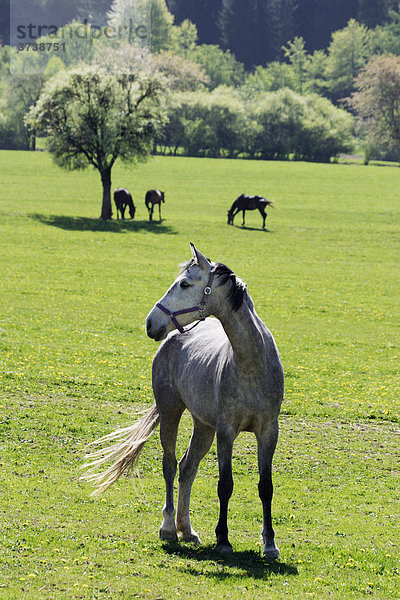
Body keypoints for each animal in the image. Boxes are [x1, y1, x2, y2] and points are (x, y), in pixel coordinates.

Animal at [83, 243, 284, 556]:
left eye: (185, 284)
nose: (150, 322)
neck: (251, 365)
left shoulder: (268, 431)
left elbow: (266, 487)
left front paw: (270, 544)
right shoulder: (226, 431)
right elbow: (225, 484)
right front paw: (223, 539)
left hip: (203, 426)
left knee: (187, 468)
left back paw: (186, 529)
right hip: (171, 412)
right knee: (170, 463)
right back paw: (169, 527)